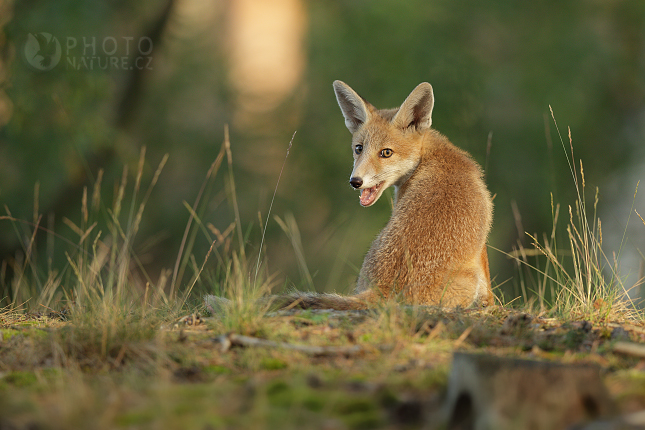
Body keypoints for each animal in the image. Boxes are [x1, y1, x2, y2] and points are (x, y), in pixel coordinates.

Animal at [206, 80, 494, 312]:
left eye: (386, 153)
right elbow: (488, 279)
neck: (430, 157)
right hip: (465, 279)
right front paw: (491, 304)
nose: (355, 182)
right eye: (359, 148)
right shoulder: (481, 247)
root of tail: (384, 291)